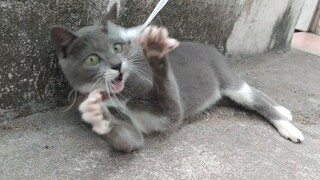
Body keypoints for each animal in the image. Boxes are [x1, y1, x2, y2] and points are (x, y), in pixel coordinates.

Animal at [50, 4, 302, 153]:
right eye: (92, 59)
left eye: (117, 47)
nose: (117, 66)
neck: (116, 94)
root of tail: (212, 48)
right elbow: (128, 140)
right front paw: (97, 114)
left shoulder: (162, 101)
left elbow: (169, 94)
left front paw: (155, 50)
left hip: (227, 78)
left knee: (253, 96)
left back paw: (285, 122)